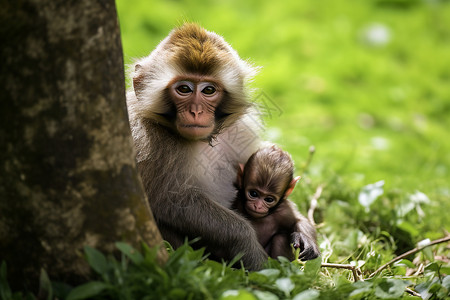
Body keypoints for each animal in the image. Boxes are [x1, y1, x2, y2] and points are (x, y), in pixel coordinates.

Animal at [125, 22, 316, 268]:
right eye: (184, 89)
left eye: (208, 90)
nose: (196, 111)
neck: (201, 141)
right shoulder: (148, 141)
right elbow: (171, 201)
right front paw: (250, 248)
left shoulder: (240, 130)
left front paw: (304, 229)